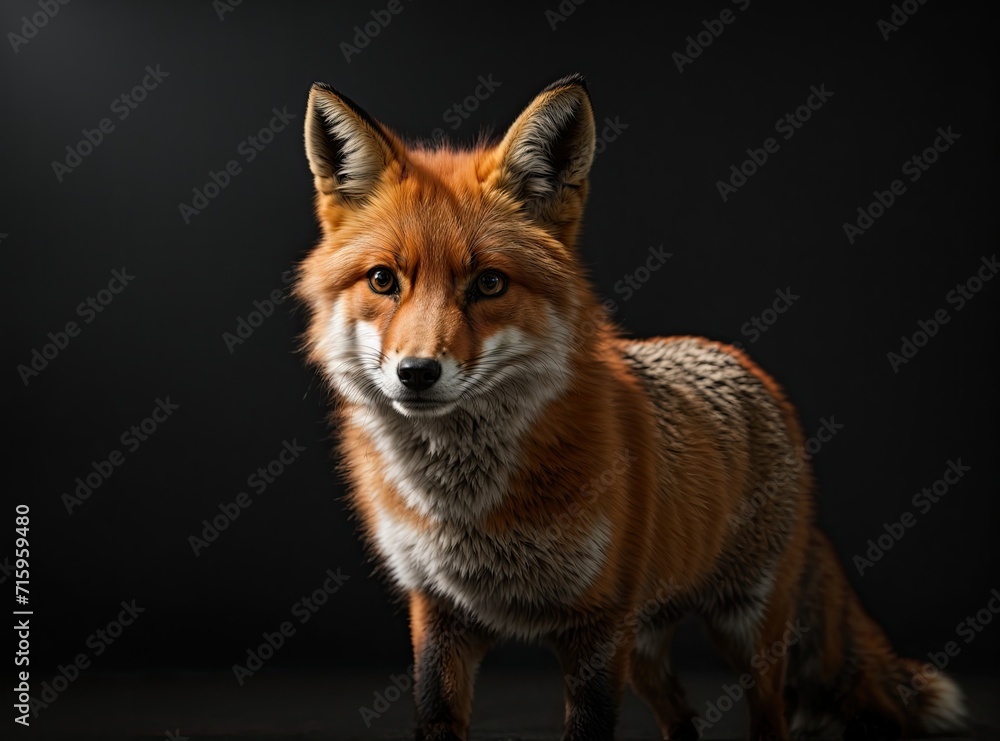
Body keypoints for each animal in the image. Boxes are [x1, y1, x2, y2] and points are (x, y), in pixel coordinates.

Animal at [294, 74, 969, 740]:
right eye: (383, 280)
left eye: (489, 283)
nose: (416, 374)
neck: (469, 509)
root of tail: (746, 366)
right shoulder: (440, 614)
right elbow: (436, 716)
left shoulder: (598, 624)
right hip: (645, 646)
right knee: (682, 721)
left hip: (744, 633)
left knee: (769, 719)